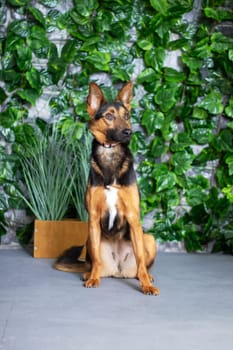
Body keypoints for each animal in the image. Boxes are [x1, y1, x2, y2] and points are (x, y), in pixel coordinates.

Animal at [54, 82, 160, 296]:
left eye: (126, 115)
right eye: (109, 116)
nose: (128, 132)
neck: (110, 153)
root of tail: (118, 271)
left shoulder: (133, 218)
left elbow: (141, 261)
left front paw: (146, 285)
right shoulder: (93, 219)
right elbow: (95, 259)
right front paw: (93, 279)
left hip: (149, 238)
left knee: (141, 266)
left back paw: (146, 276)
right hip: (89, 239)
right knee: (95, 261)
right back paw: (90, 274)